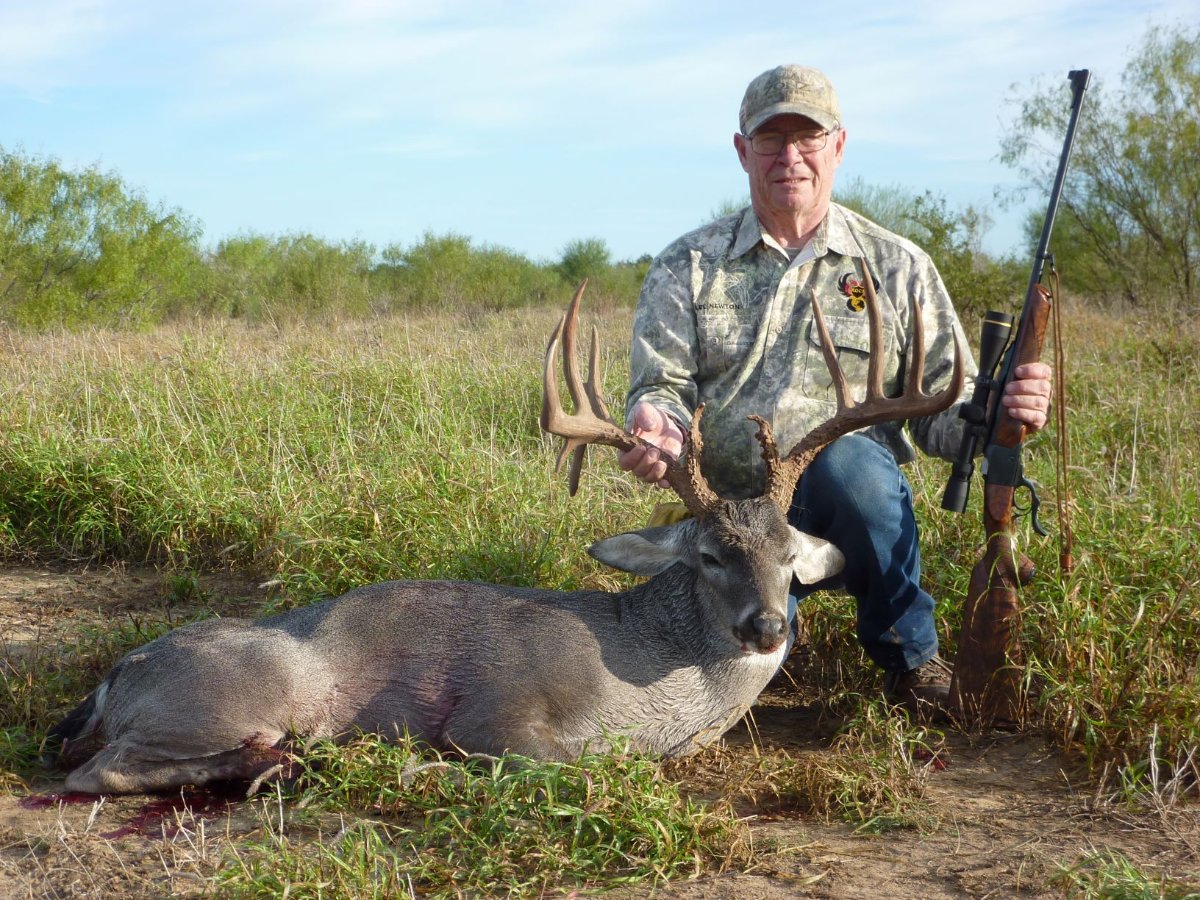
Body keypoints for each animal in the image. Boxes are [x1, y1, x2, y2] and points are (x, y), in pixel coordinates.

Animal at [47, 273, 963, 795]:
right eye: (709, 555)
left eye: (792, 558)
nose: (767, 627)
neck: (649, 684)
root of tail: (119, 672)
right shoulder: (499, 709)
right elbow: (570, 763)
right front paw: (421, 765)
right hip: (243, 691)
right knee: (96, 771)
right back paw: (272, 762)